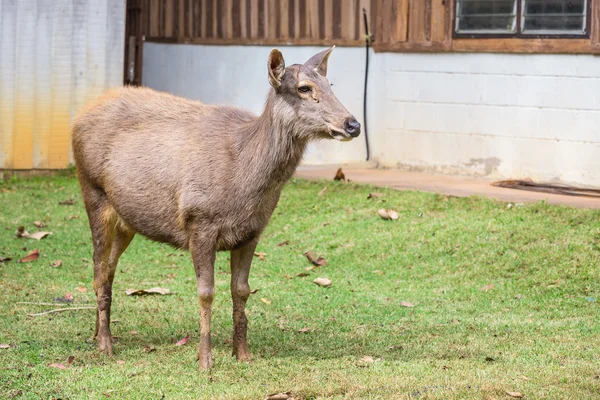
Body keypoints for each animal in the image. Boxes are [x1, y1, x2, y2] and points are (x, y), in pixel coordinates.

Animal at [72, 46, 358, 368]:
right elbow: (206, 292)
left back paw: (97, 334)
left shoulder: (253, 231)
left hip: (126, 220)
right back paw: (105, 344)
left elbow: (242, 290)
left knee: (107, 269)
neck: (245, 182)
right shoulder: (199, 220)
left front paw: (242, 353)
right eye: (304, 88)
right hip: (93, 192)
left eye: (330, 85)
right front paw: (204, 359)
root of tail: (79, 116)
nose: (353, 124)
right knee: (98, 269)